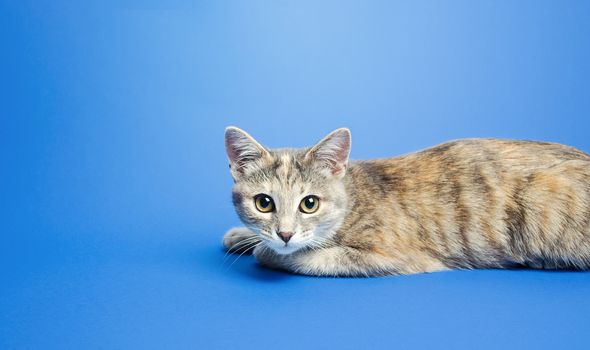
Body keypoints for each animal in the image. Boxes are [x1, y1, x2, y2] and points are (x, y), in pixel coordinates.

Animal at [222, 126, 590, 276]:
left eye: (309, 204)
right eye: (264, 203)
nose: (284, 234)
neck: (354, 199)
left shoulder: (393, 257)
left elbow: (301, 257)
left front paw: (266, 250)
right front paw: (243, 236)